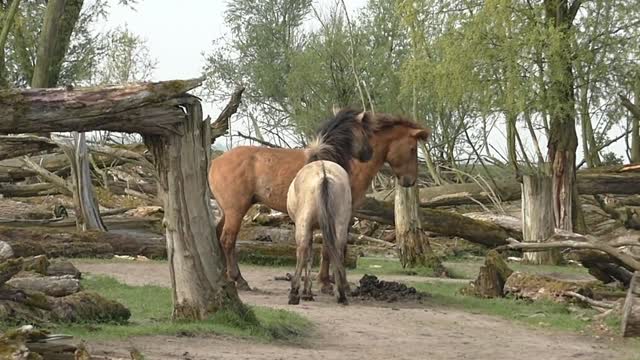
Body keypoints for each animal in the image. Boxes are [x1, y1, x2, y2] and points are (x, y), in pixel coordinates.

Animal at [209, 111, 430, 292]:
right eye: (412, 148)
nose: (410, 181)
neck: (346, 161)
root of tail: (216, 161)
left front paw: (331, 280)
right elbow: (330, 247)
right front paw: (326, 282)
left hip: (228, 211)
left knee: (218, 235)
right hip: (236, 210)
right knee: (228, 240)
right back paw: (239, 279)